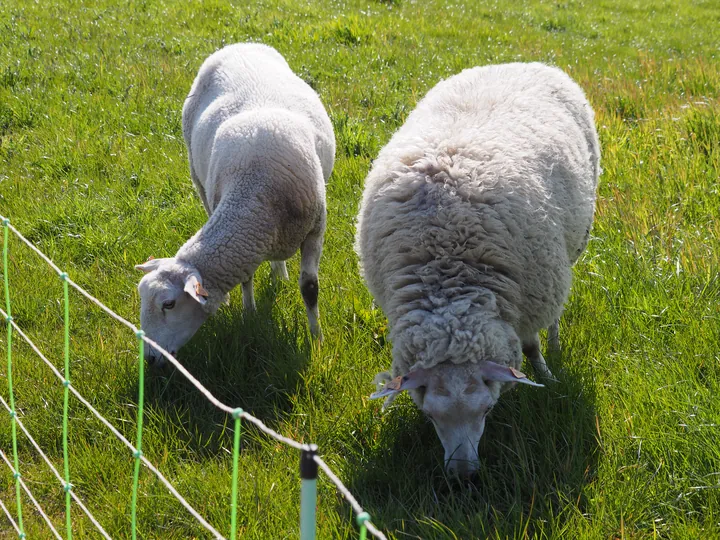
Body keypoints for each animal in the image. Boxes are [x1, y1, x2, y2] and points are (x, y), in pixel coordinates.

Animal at [137, 41, 334, 362]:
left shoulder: (316, 229)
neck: (256, 191)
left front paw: (316, 338)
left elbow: (310, 288)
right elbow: (246, 277)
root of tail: (238, 44)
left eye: (169, 304)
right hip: (199, 182)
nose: (151, 360)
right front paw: (249, 315)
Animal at [356, 62, 600, 476]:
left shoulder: (529, 300)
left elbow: (530, 346)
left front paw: (545, 375)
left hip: (571, 247)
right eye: (430, 416)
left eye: (487, 409)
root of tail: (522, 62)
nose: (463, 475)